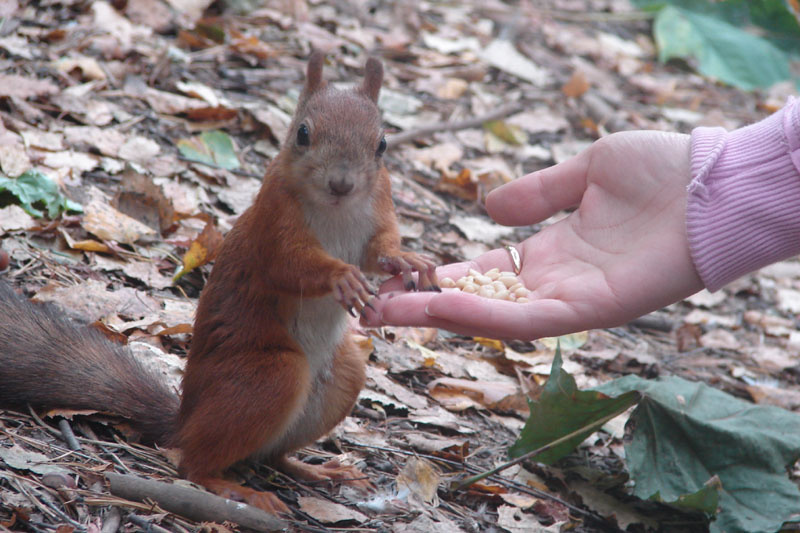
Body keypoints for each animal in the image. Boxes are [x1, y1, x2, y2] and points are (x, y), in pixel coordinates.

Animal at [0, 52, 439, 514]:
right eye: (303, 133)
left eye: (382, 144)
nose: (342, 183)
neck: (336, 209)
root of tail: (184, 419)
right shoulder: (274, 218)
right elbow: (289, 265)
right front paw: (341, 276)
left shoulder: (379, 202)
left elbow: (379, 248)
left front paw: (406, 259)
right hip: (271, 375)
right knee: (194, 462)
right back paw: (235, 488)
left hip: (343, 375)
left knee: (272, 455)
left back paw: (316, 470)